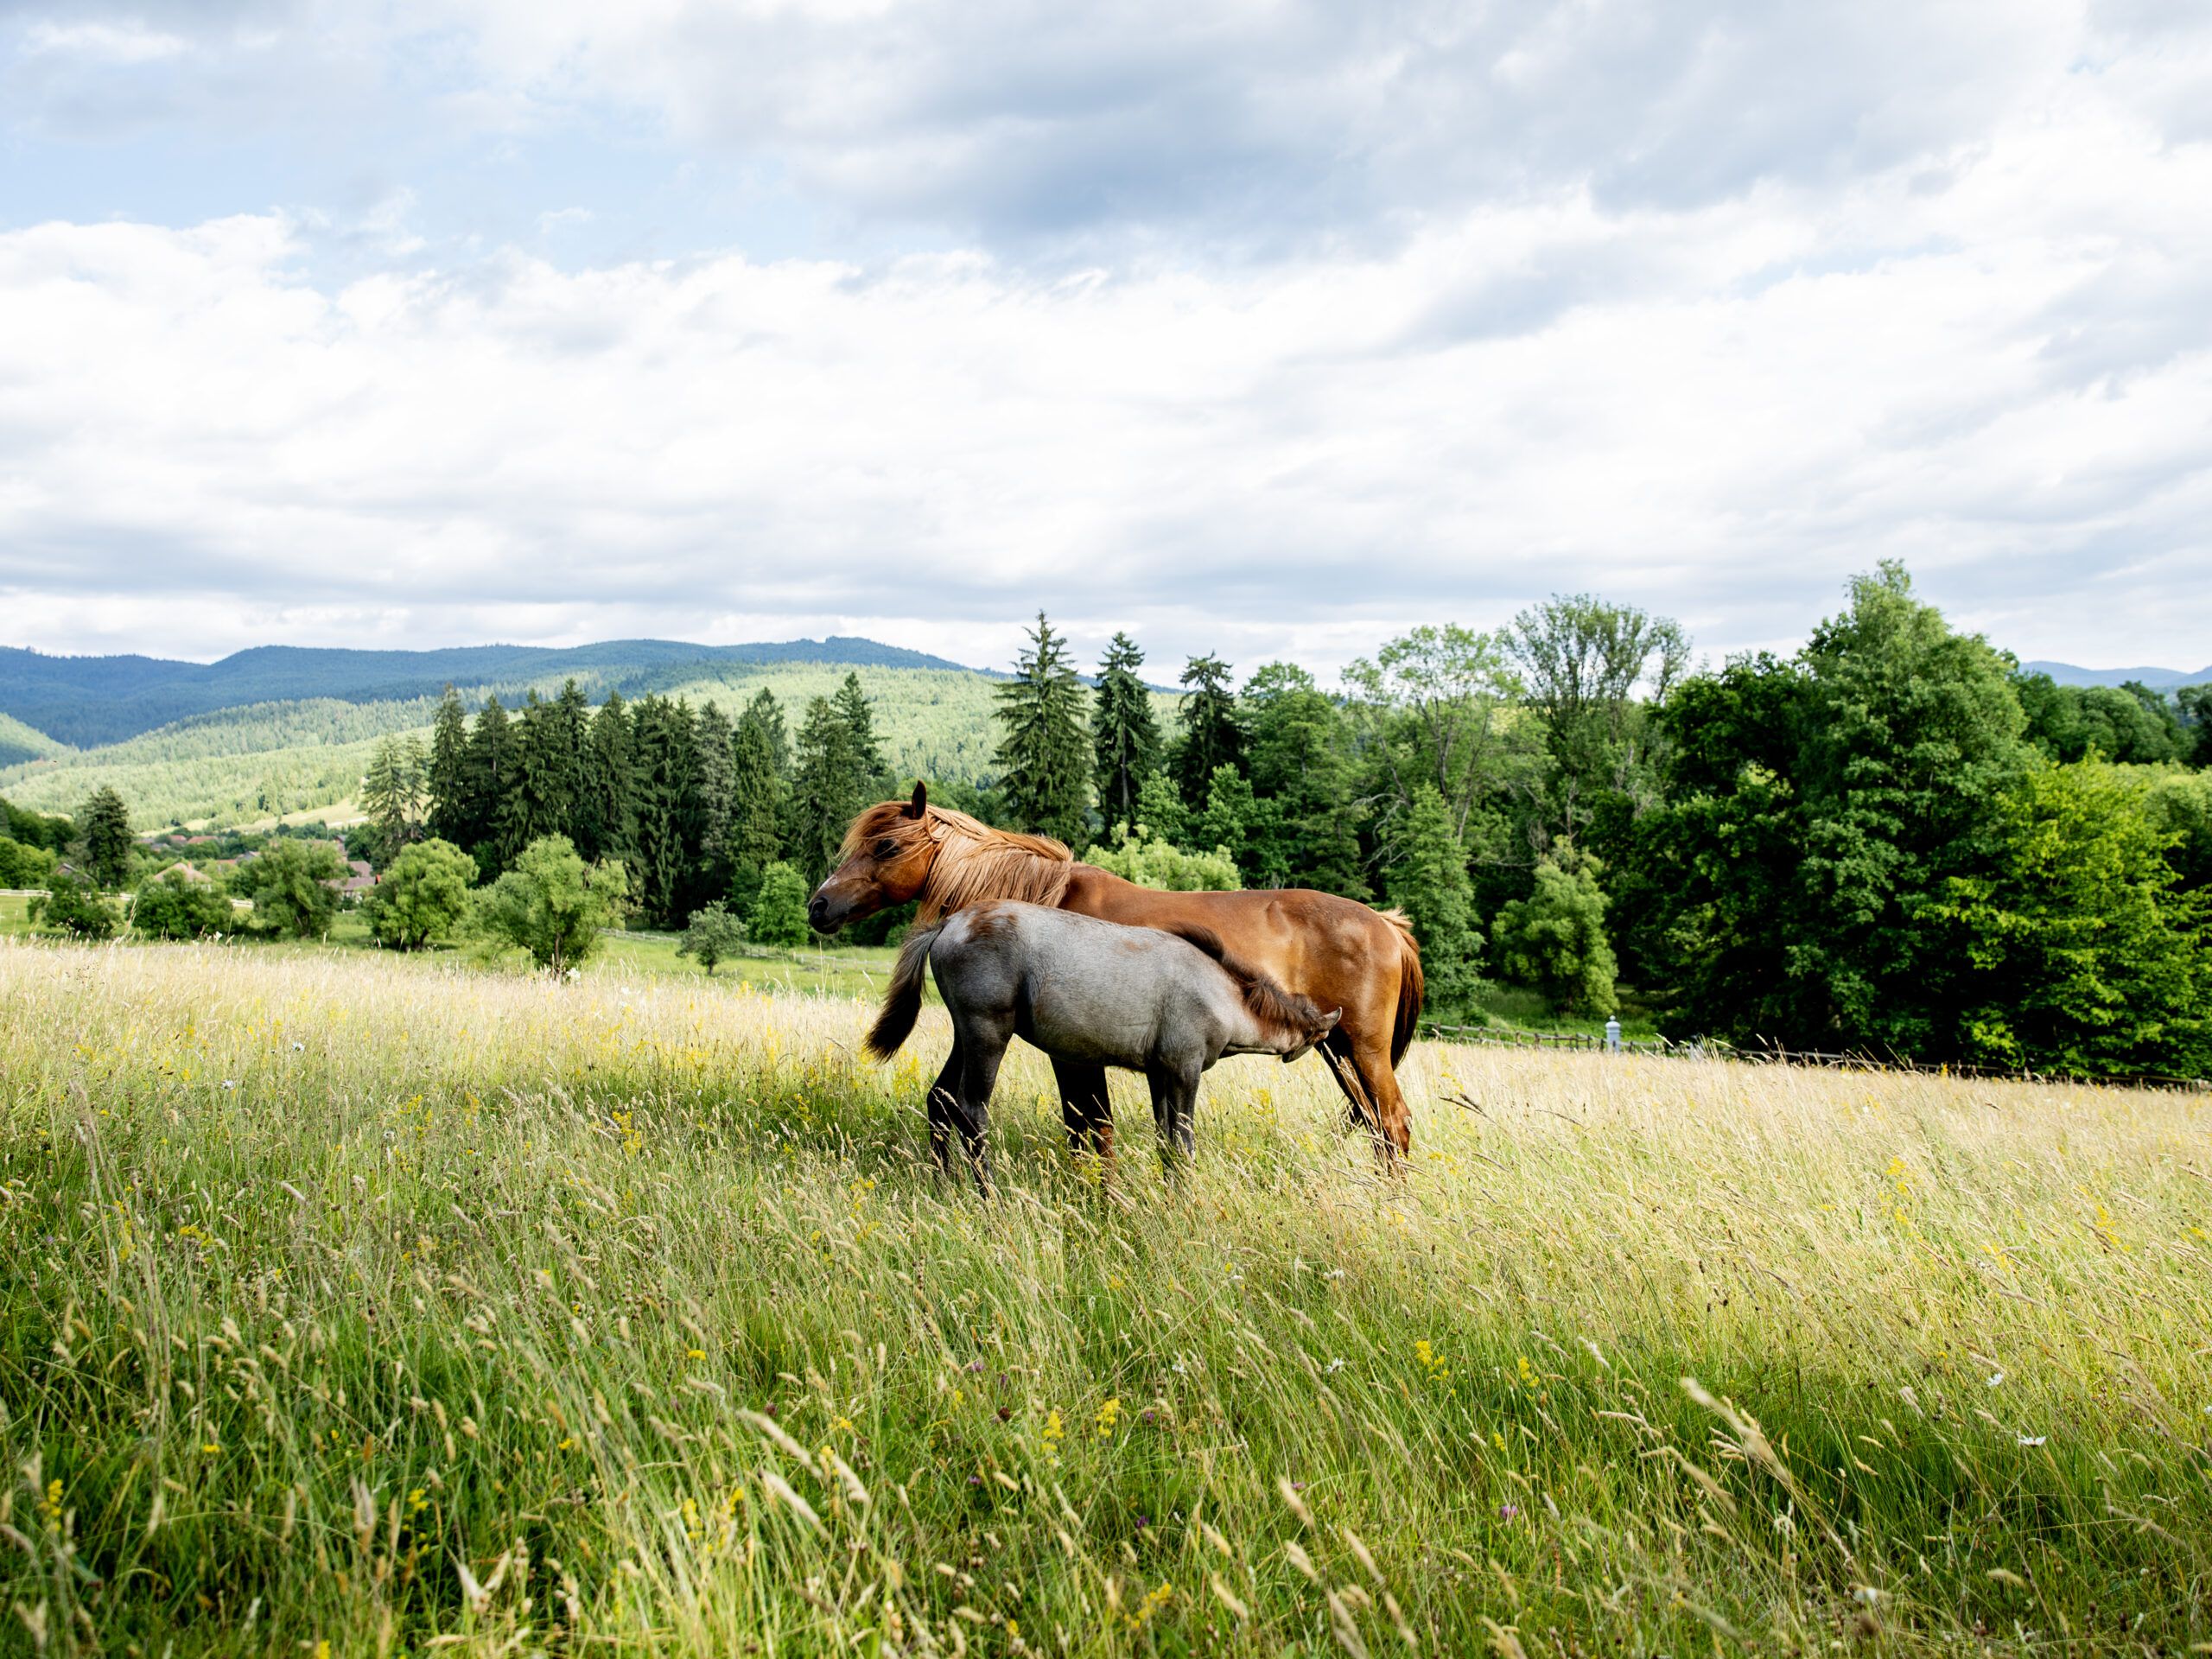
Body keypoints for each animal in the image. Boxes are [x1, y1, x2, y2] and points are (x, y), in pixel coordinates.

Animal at [804, 783, 1424, 1159]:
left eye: (886, 846)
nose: (819, 905)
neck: (1044, 897)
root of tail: (1387, 924)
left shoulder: (1076, 1055)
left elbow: (1092, 1133)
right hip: (1337, 1051)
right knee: (1378, 1127)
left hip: (1363, 1050)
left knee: (1393, 1124)